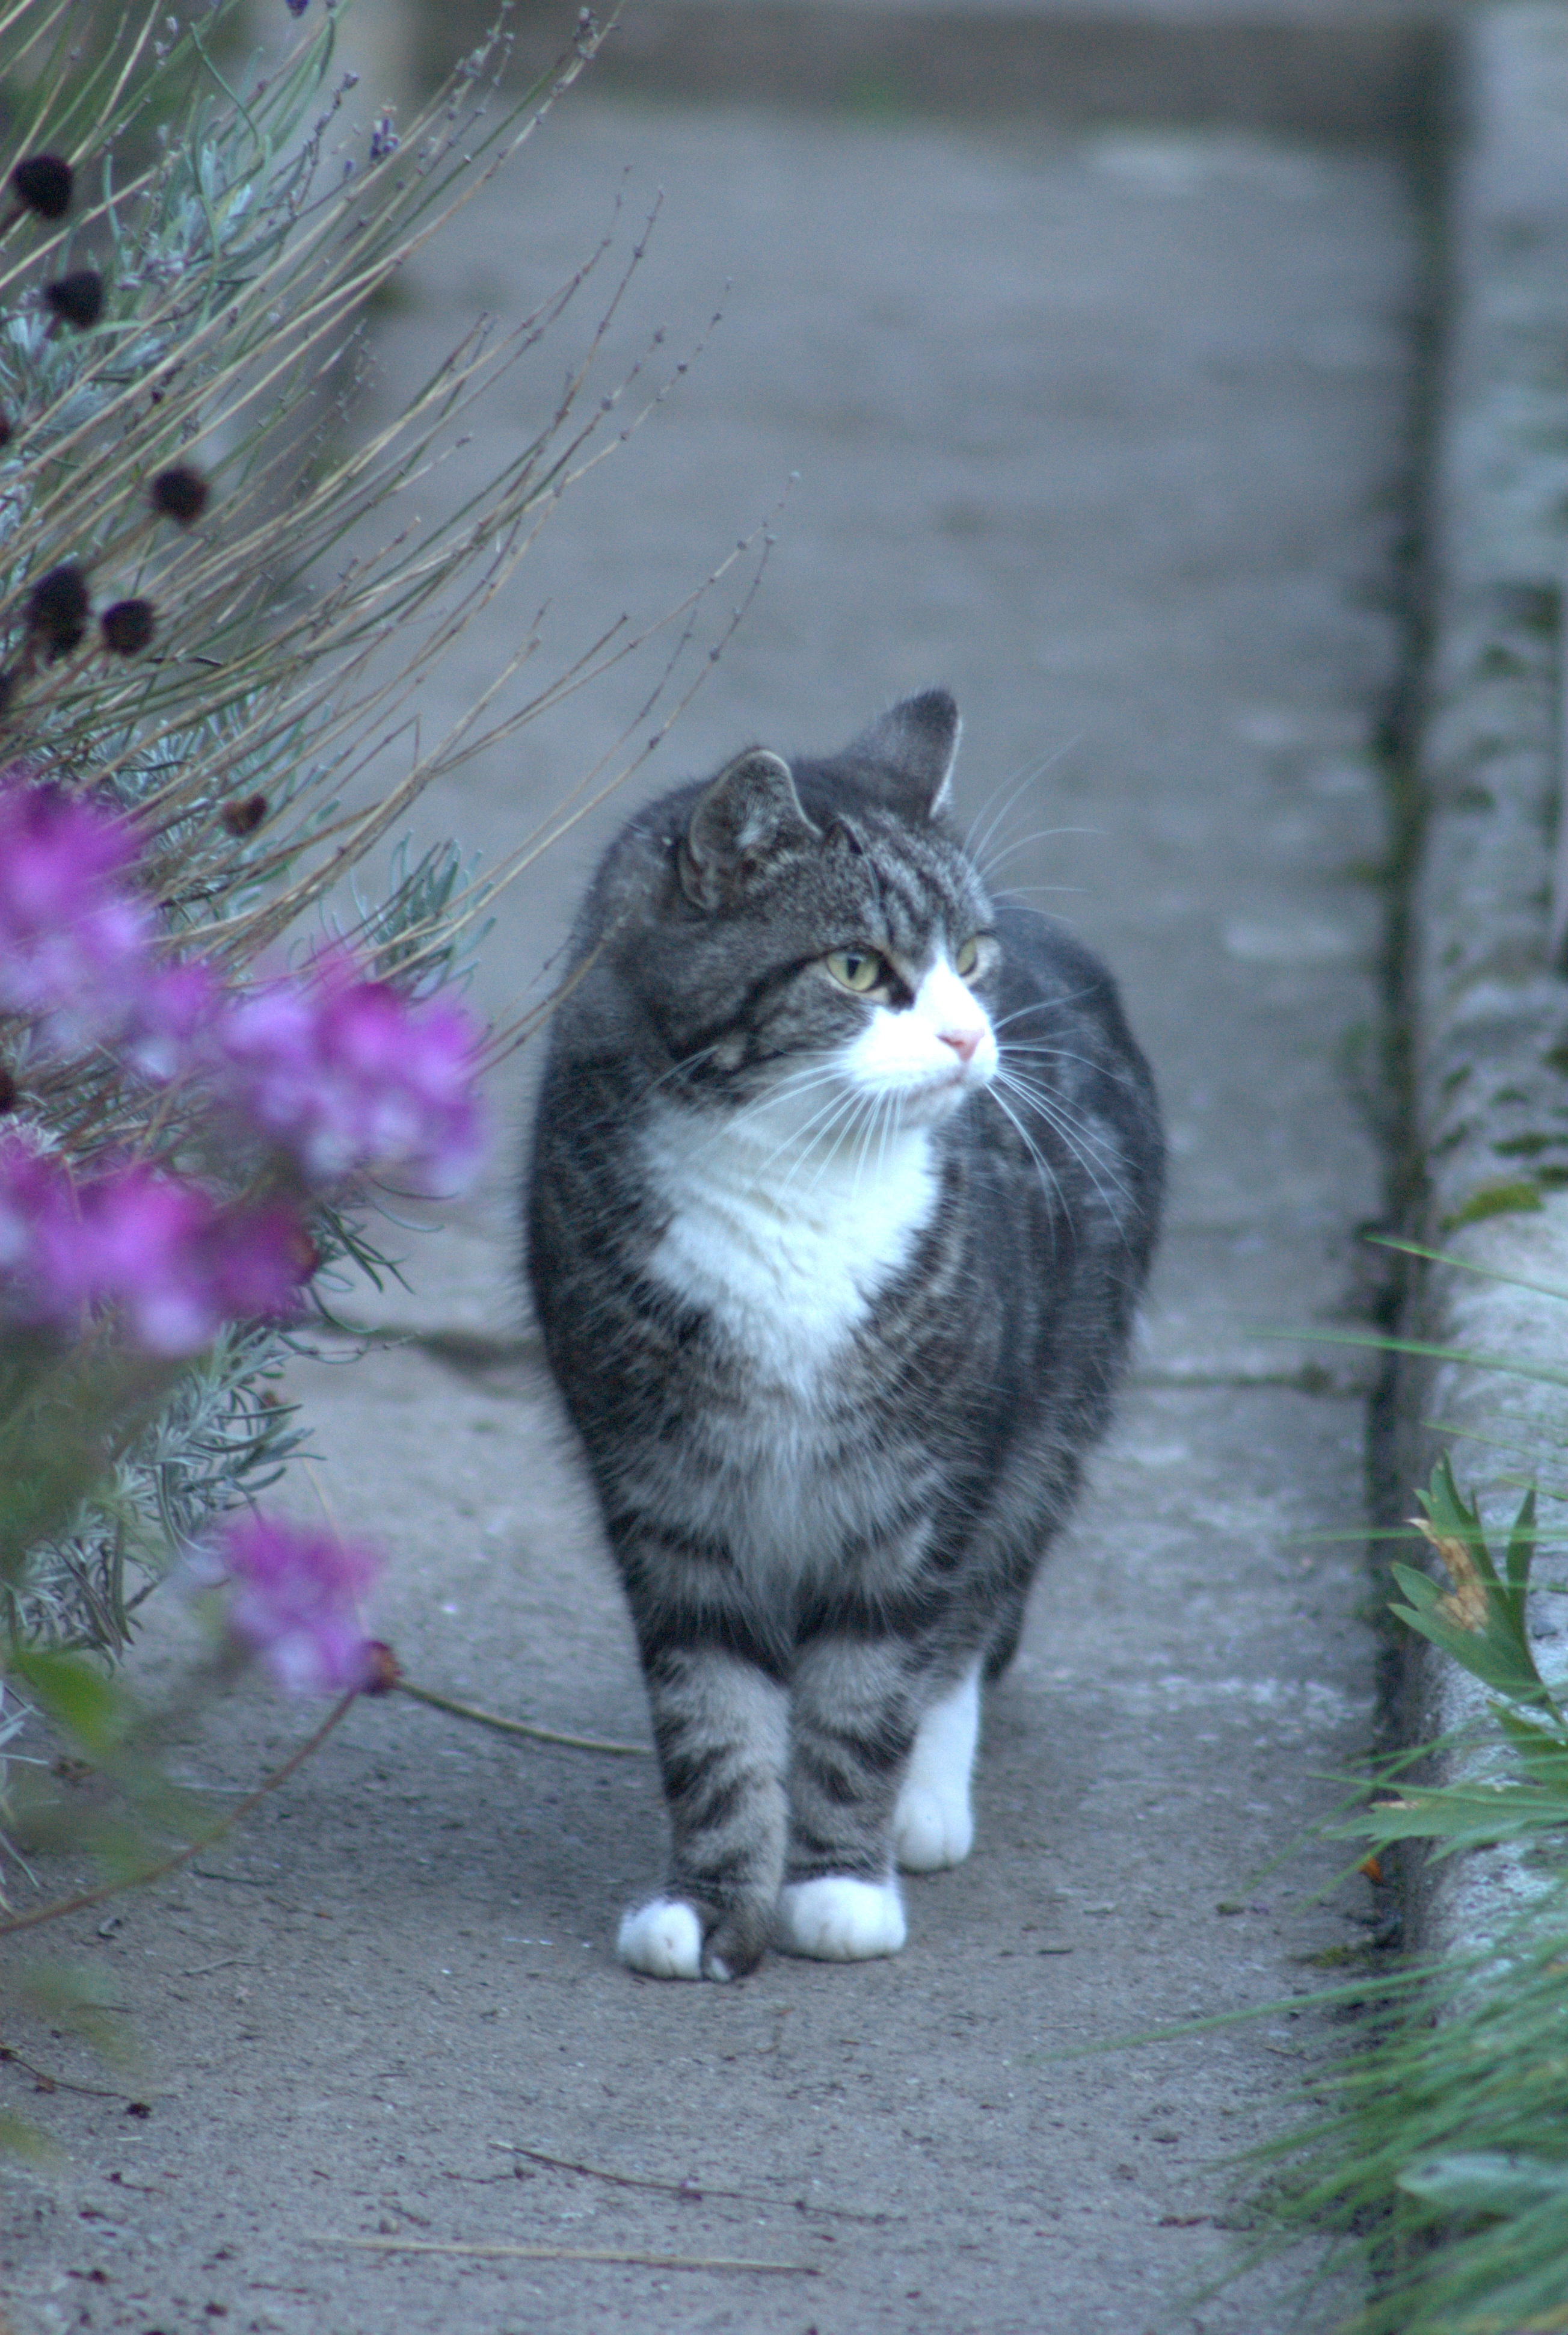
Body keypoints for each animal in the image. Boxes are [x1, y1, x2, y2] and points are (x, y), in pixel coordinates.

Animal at [527, 682, 1161, 1980]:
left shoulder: (918, 1485)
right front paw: (710, 1899)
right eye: (859, 967)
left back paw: (924, 1802)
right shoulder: (663, 1490)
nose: (969, 1037)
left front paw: (839, 1883)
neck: (795, 1192)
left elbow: (867, 1685)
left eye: (969, 960)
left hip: (1049, 1412)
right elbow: (710, 1705)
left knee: (969, 1617)